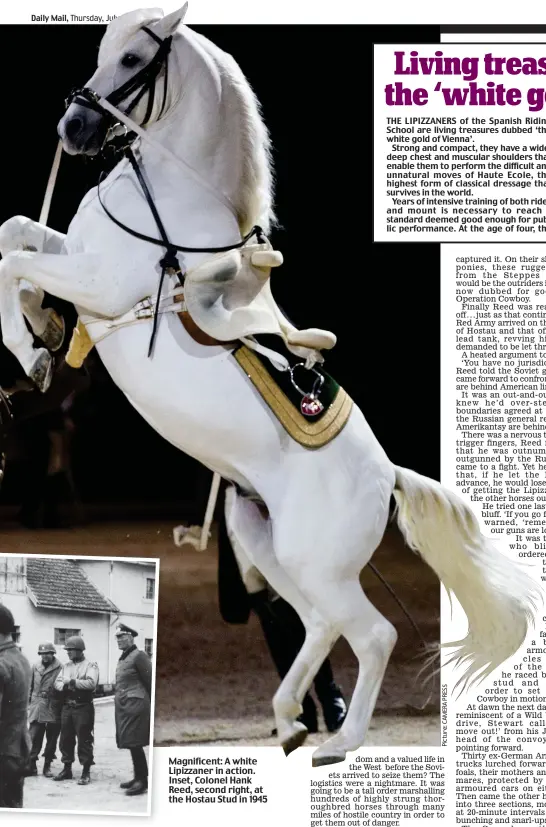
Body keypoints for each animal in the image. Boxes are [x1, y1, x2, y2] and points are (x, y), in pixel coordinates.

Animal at [0, 8, 536, 768]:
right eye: (102, 49)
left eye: (133, 58)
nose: (72, 128)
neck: (170, 203)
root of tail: (389, 478)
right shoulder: (77, 258)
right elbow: (15, 233)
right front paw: (43, 329)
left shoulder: (101, 285)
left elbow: (11, 259)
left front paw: (32, 346)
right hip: (268, 546)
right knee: (315, 623)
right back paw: (288, 721)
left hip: (316, 562)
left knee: (371, 633)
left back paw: (337, 741)